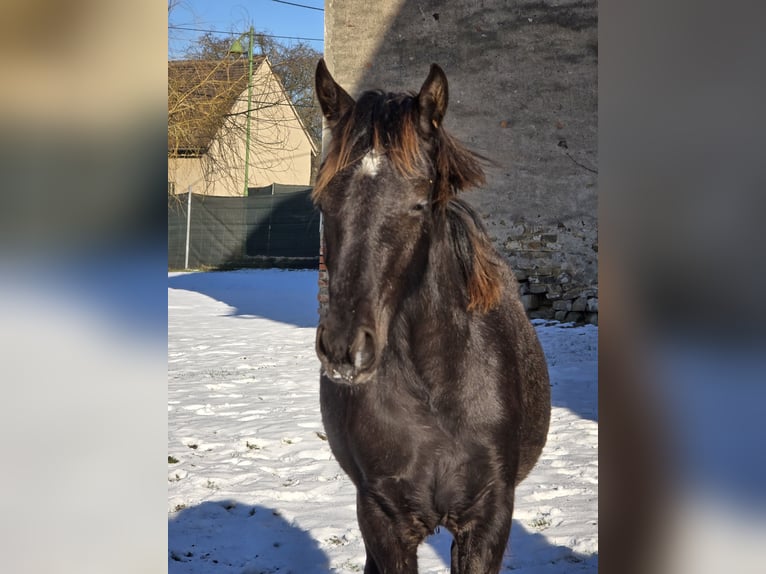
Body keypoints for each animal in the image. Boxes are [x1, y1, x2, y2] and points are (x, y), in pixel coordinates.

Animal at [314, 59, 552, 574]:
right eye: (323, 202)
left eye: (419, 203)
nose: (343, 349)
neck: (436, 396)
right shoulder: (383, 521)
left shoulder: (487, 520)